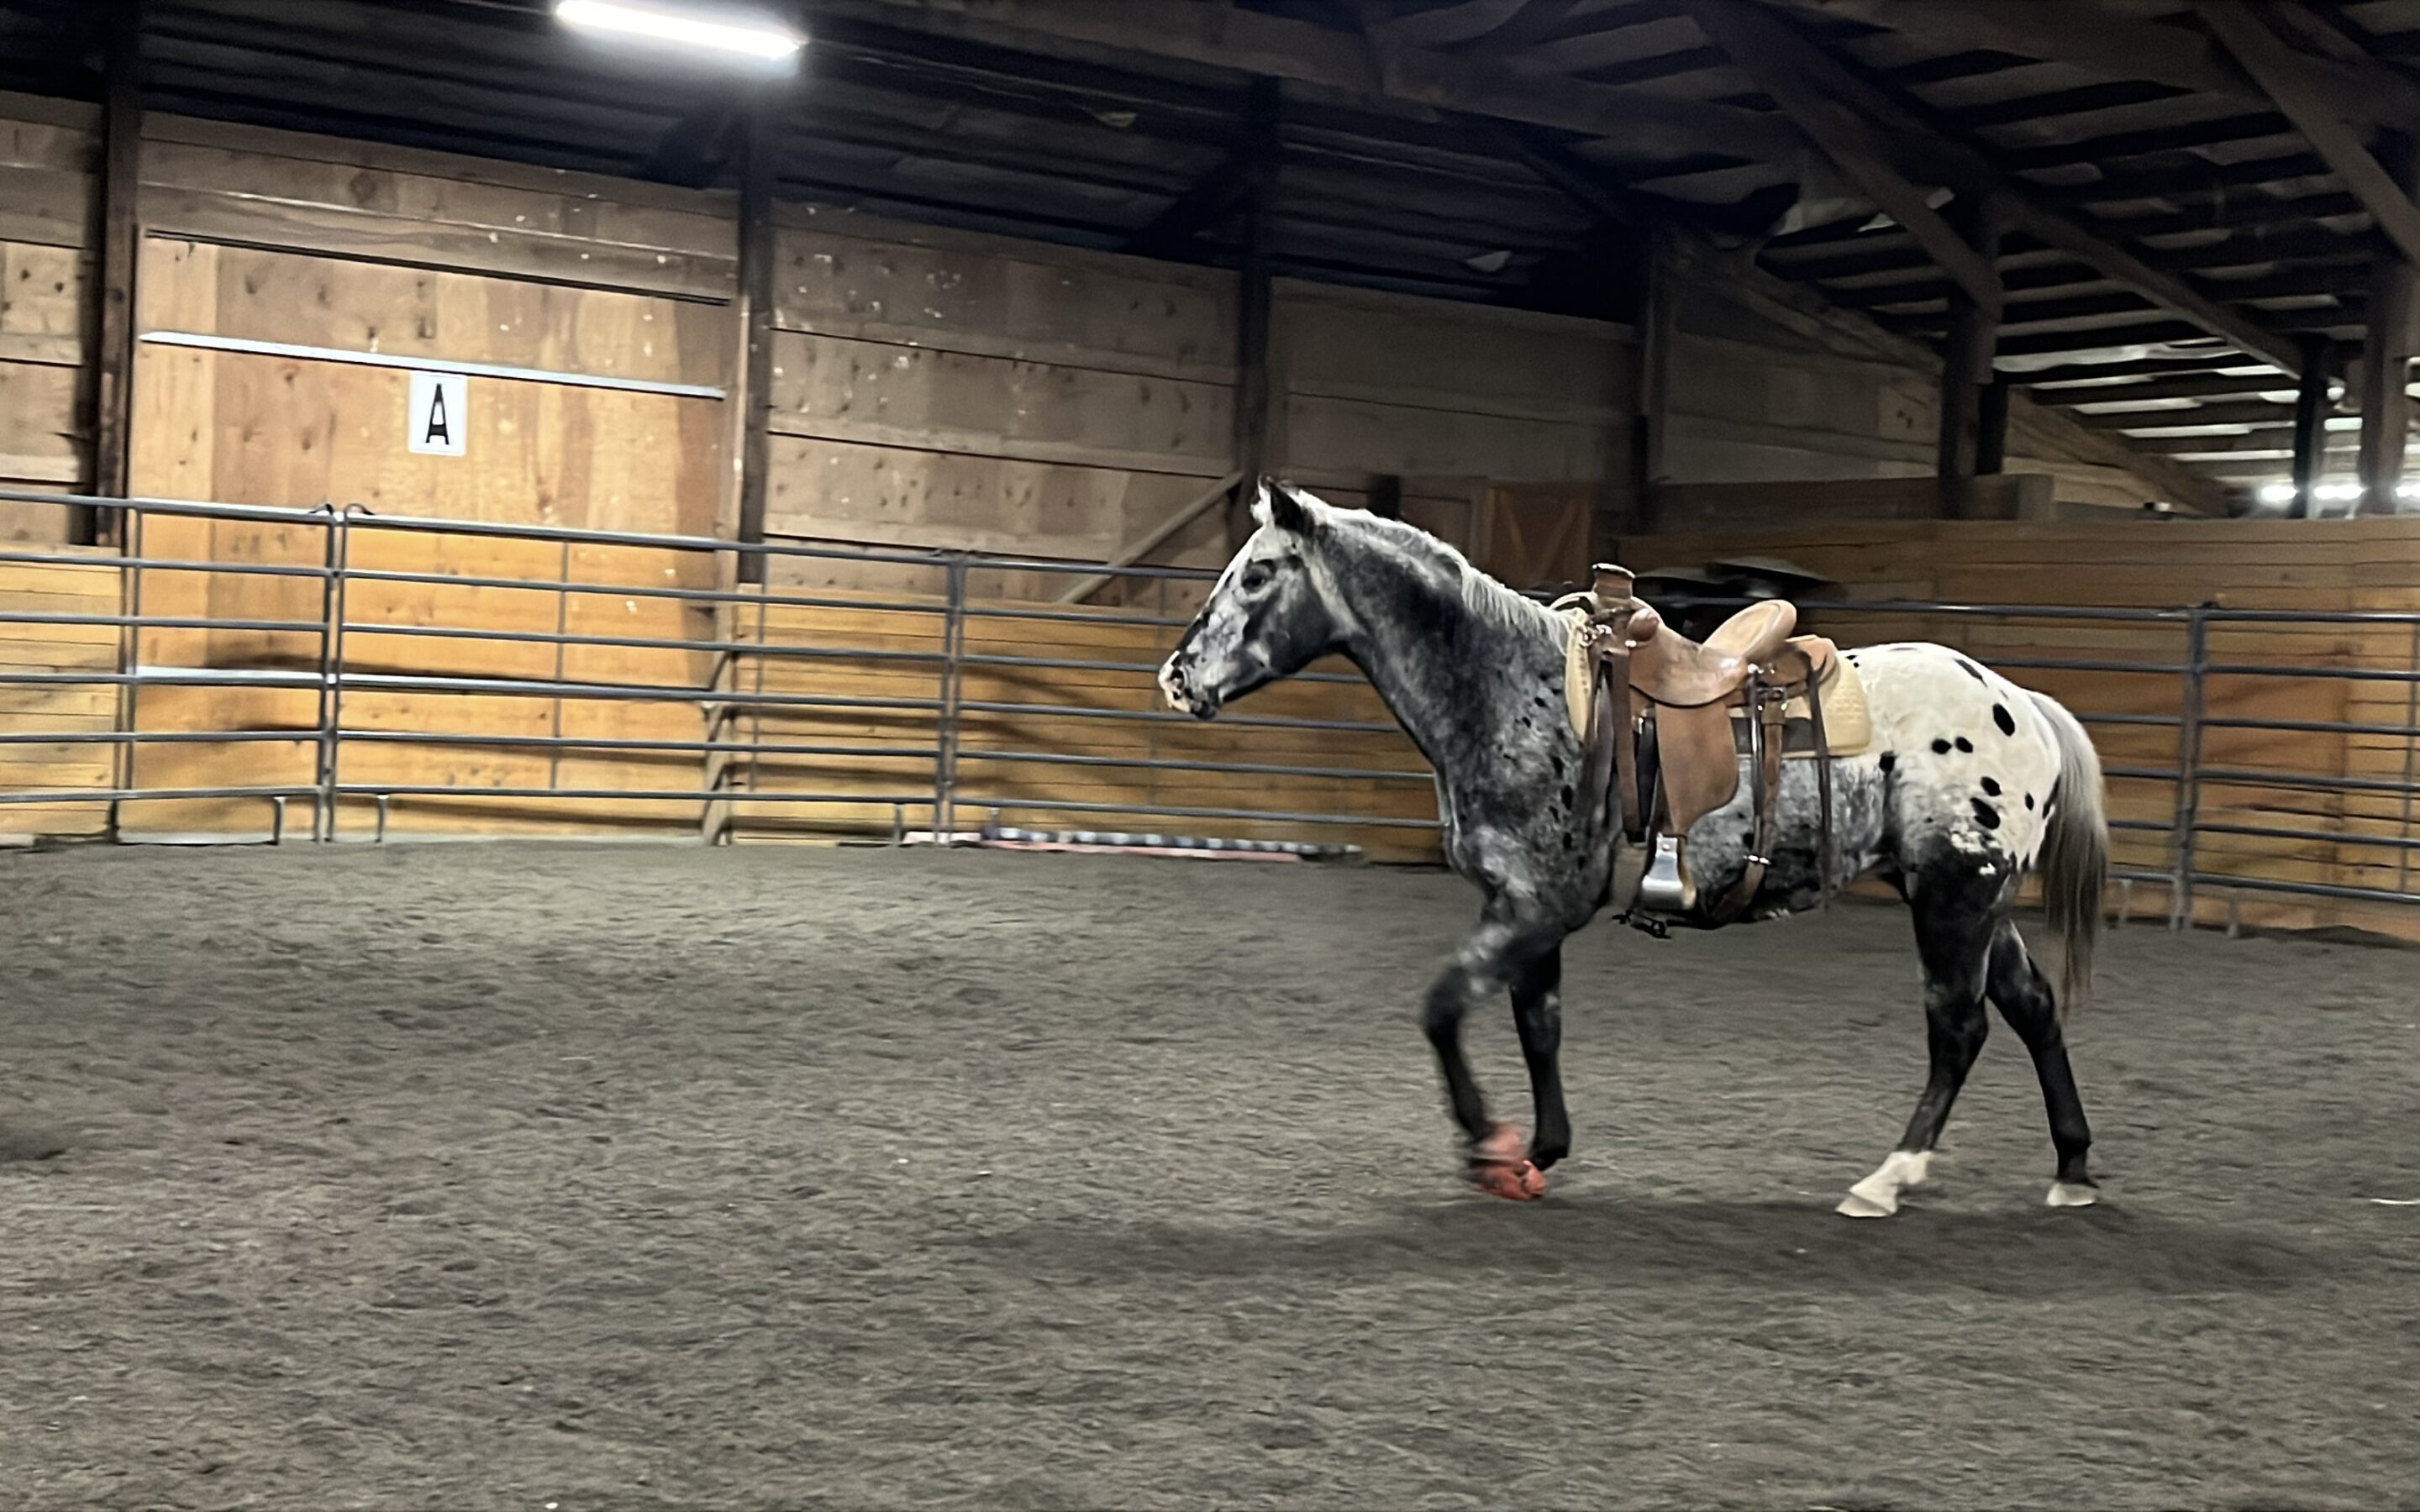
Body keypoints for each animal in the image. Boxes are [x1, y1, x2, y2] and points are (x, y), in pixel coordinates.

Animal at [1161, 481, 2110, 1214]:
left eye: (1258, 572)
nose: (1176, 677)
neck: (1513, 690)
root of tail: (2022, 703)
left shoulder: (1534, 907)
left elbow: (1442, 1008)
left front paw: (1490, 1145)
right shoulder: (1521, 910)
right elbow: (1537, 1025)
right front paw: (1536, 1154)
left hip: (1954, 895)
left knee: (1960, 1028)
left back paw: (1888, 1179)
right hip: (1976, 902)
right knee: (2033, 1008)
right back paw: (2071, 1167)